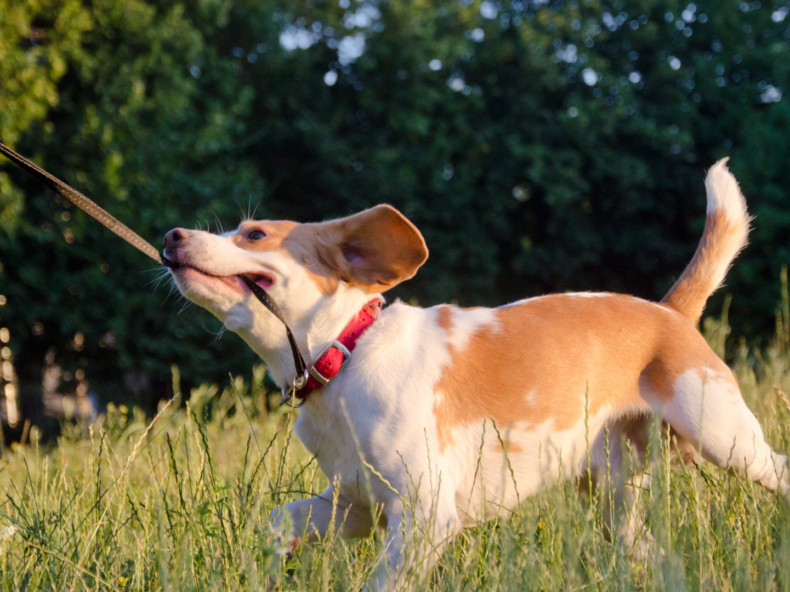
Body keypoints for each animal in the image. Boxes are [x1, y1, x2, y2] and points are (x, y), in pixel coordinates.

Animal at [164, 160, 788, 588]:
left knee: (778, 468)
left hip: (726, 437)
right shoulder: (354, 504)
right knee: (657, 556)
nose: (172, 235)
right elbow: (280, 519)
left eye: (254, 234)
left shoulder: (424, 515)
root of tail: (668, 311)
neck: (345, 354)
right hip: (614, 504)